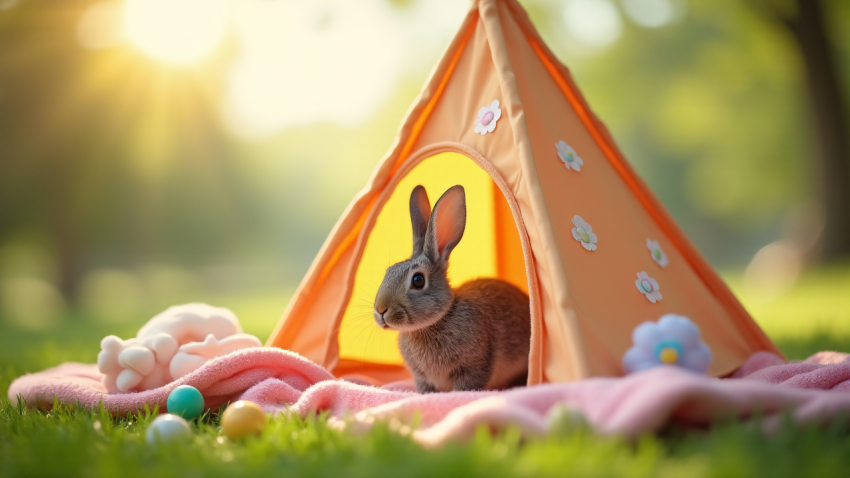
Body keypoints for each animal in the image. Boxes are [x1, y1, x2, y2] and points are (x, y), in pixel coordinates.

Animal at [372, 184, 528, 392]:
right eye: (388, 272)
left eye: (418, 280)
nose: (381, 310)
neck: (432, 324)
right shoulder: (422, 378)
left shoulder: (474, 367)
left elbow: (466, 387)